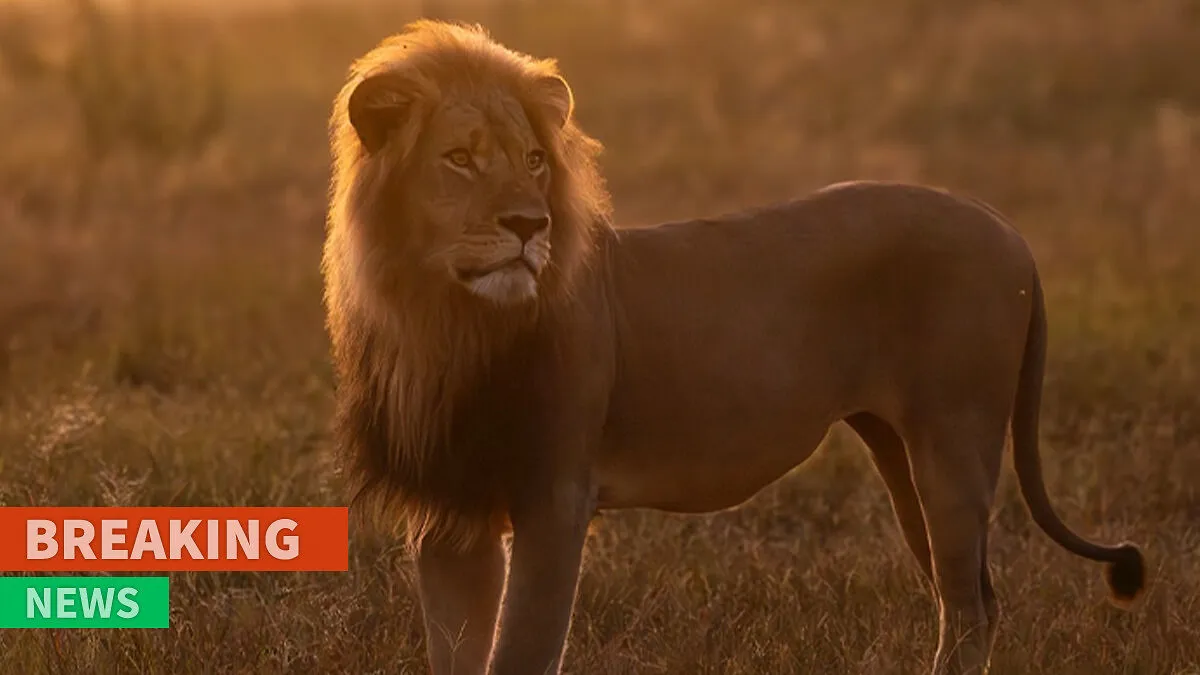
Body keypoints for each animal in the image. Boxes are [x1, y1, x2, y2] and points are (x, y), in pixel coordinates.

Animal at [321, 20, 1146, 675]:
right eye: (459, 158)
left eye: (533, 160)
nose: (529, 225)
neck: (442, 320)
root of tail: (1005, 226)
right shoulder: (449, 512)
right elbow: (457, 650)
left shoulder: (554, 493)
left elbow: (521, 650)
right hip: (903, 452)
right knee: (974, 598)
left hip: (955, 439)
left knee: (969, 610)